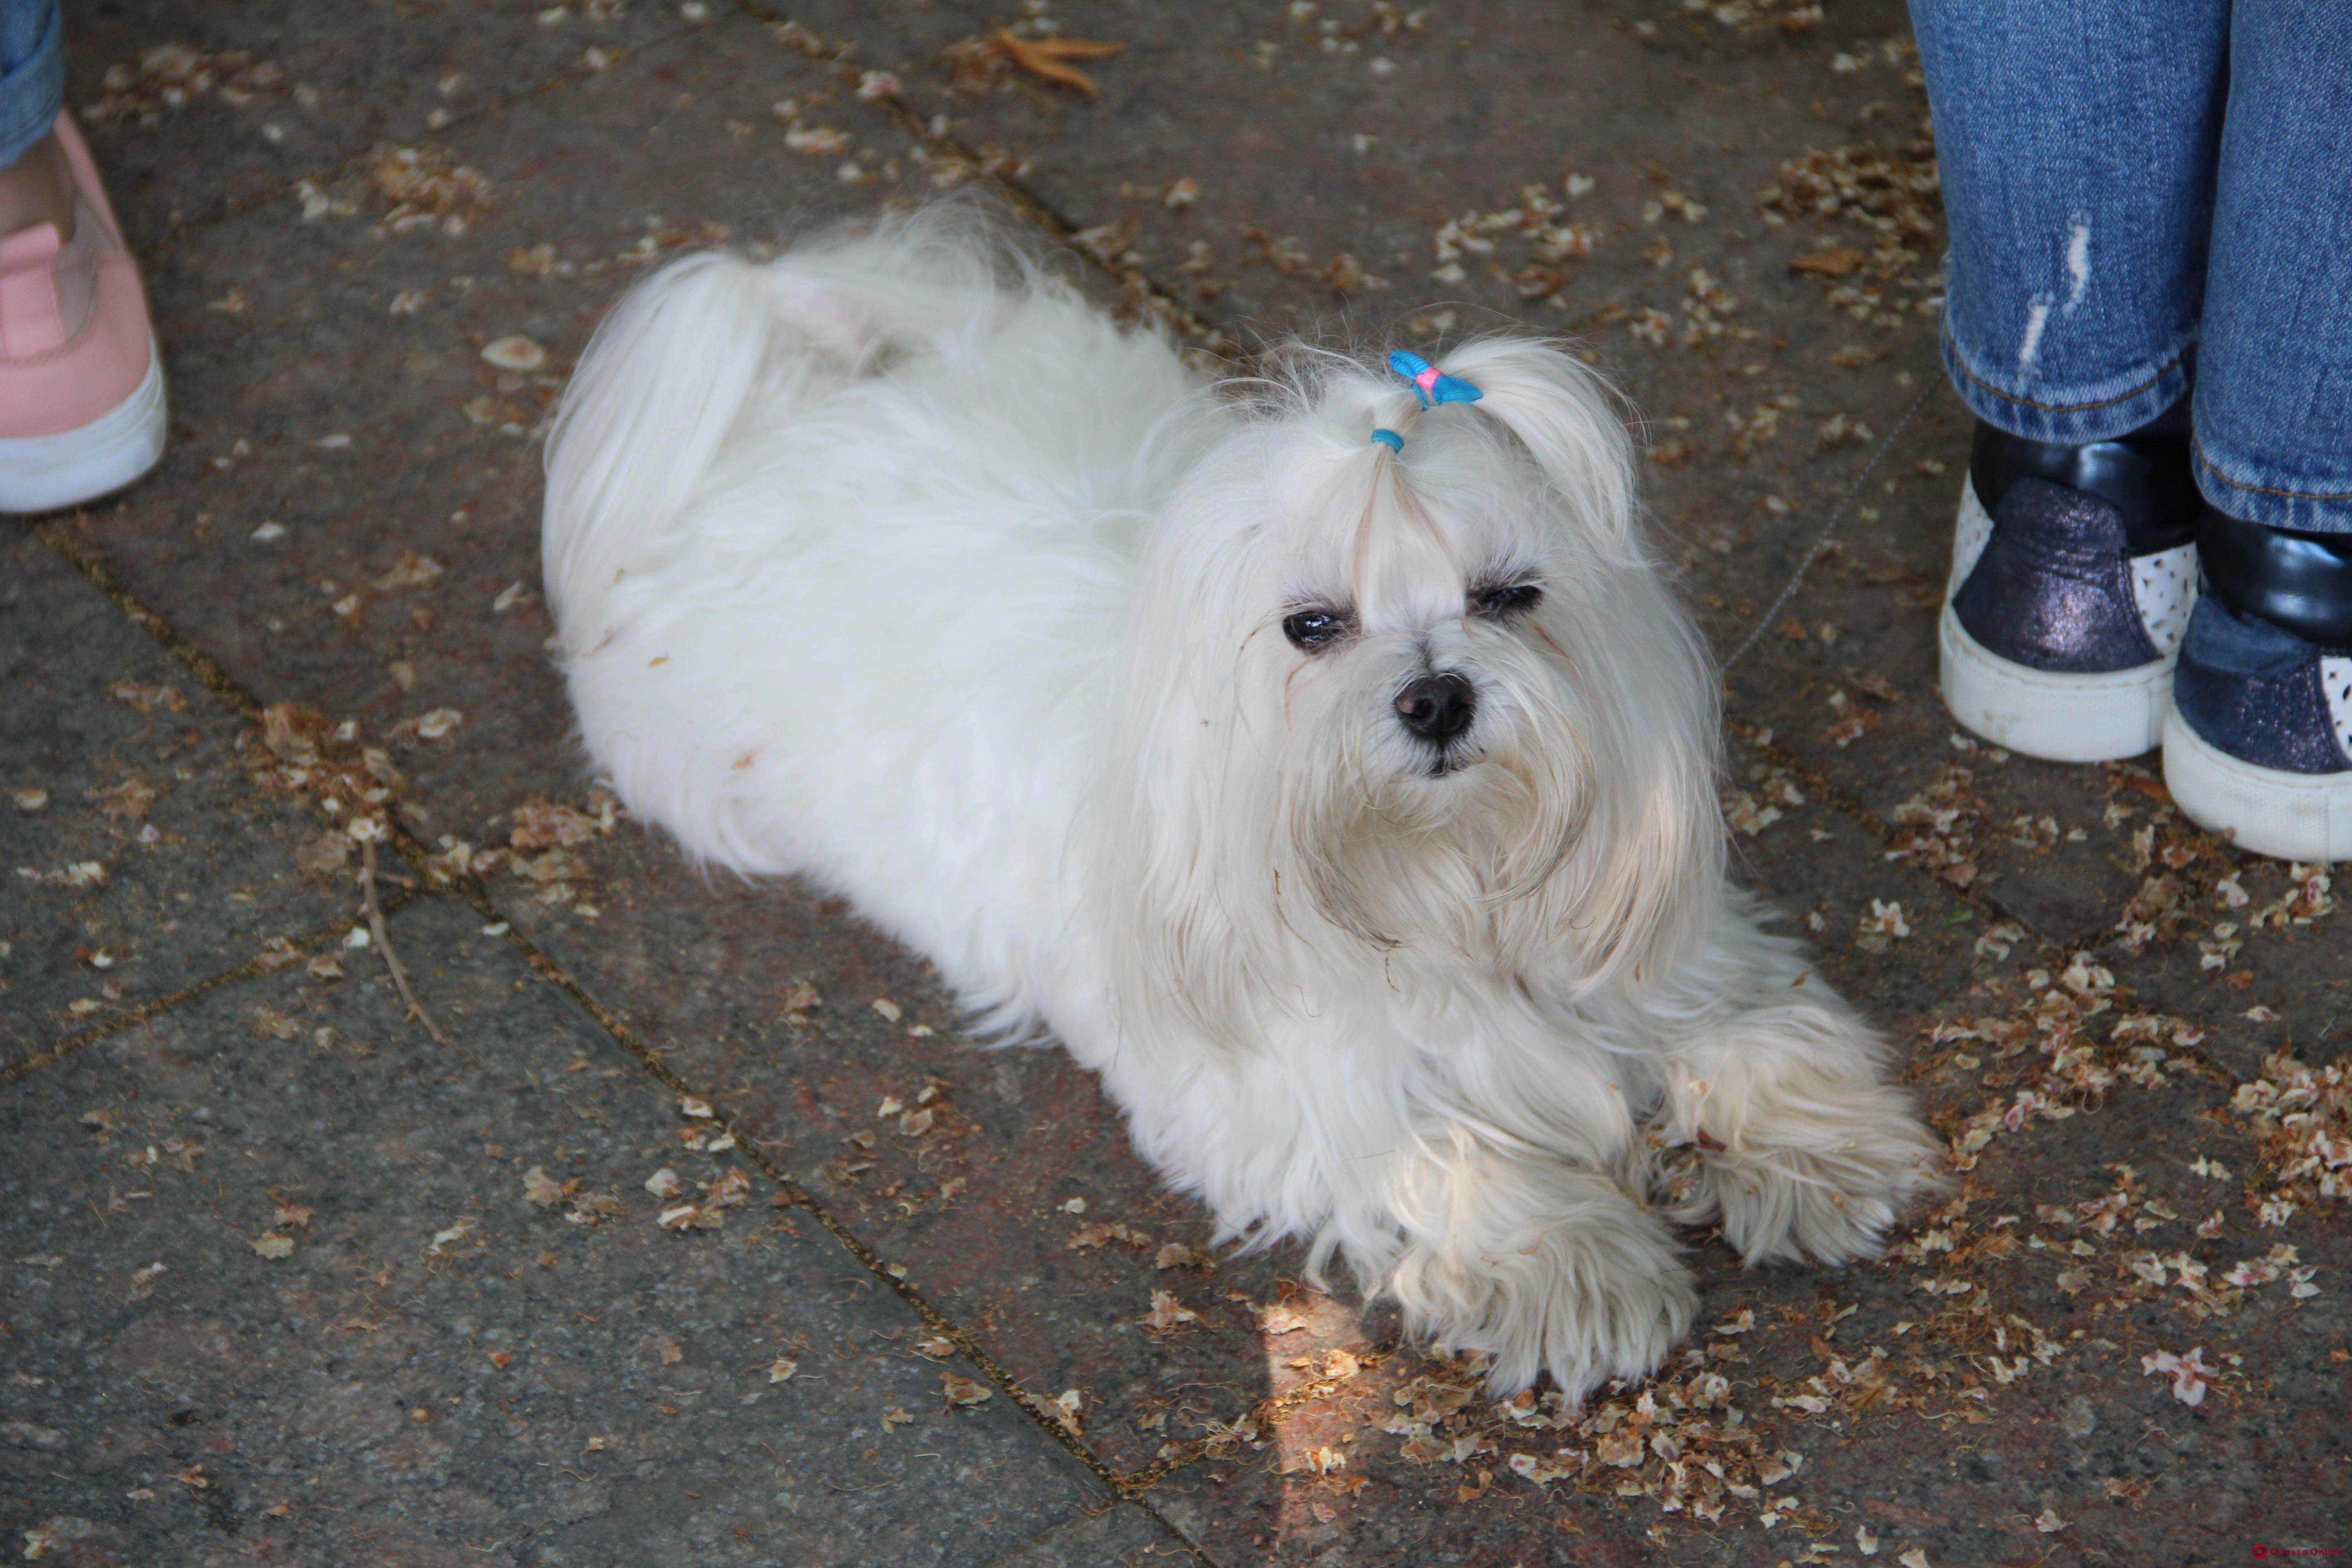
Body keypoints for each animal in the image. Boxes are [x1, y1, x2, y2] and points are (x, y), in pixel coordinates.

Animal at [541, 211, 1938, 1401]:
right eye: (1310, 626)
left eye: (1508, 595)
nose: (1438, 696)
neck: (1446, 880)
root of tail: (797, 406)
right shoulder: (1288, 1088)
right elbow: (1448, 1156)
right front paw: (1572, 1272)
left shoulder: (1653, 947)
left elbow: (1743, 1022)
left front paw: (1810, 1146)